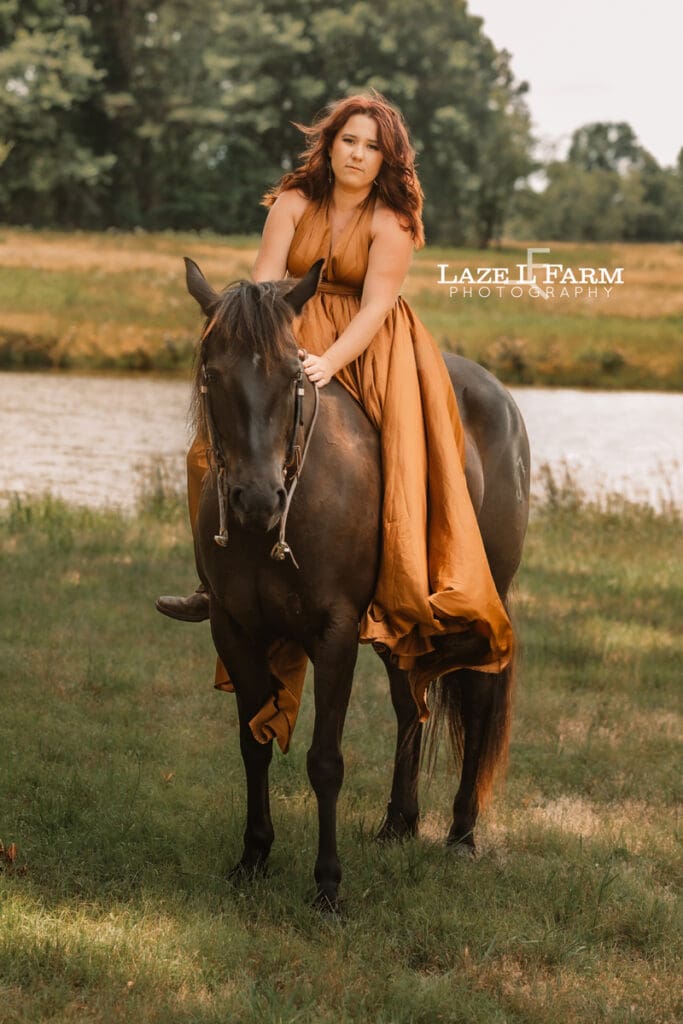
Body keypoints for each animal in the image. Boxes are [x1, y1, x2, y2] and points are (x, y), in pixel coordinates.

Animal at [184, 256, 530, 910]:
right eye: (212, 373)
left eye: (294, 374)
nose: (257, 500)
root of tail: (500, 398)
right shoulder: (233, 627)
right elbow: (253, 743)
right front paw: (253, 859)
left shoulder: (335, 632)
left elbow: (325, 760)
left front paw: (327, 886)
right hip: (403, 622)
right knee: (409, 700)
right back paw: (399, 822)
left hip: (482, 598)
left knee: (477, 697)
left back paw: (461, 835)